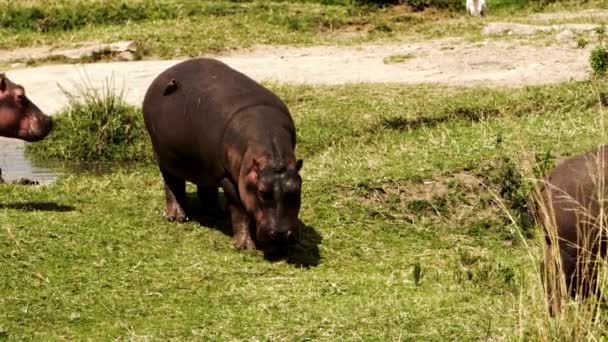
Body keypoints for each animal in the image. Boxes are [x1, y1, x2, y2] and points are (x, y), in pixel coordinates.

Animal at [142, 58, 304, 251]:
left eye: (297, 189)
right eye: (262, 192)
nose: (281, 235)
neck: (272, 158)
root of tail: (163, 75)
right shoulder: (228, 178)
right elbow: (239, 210)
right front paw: (244, 247)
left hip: (205, 164)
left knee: (205, 186)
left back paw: (216, 214)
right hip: (165, 157)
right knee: (172, 183)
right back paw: (176, 217)